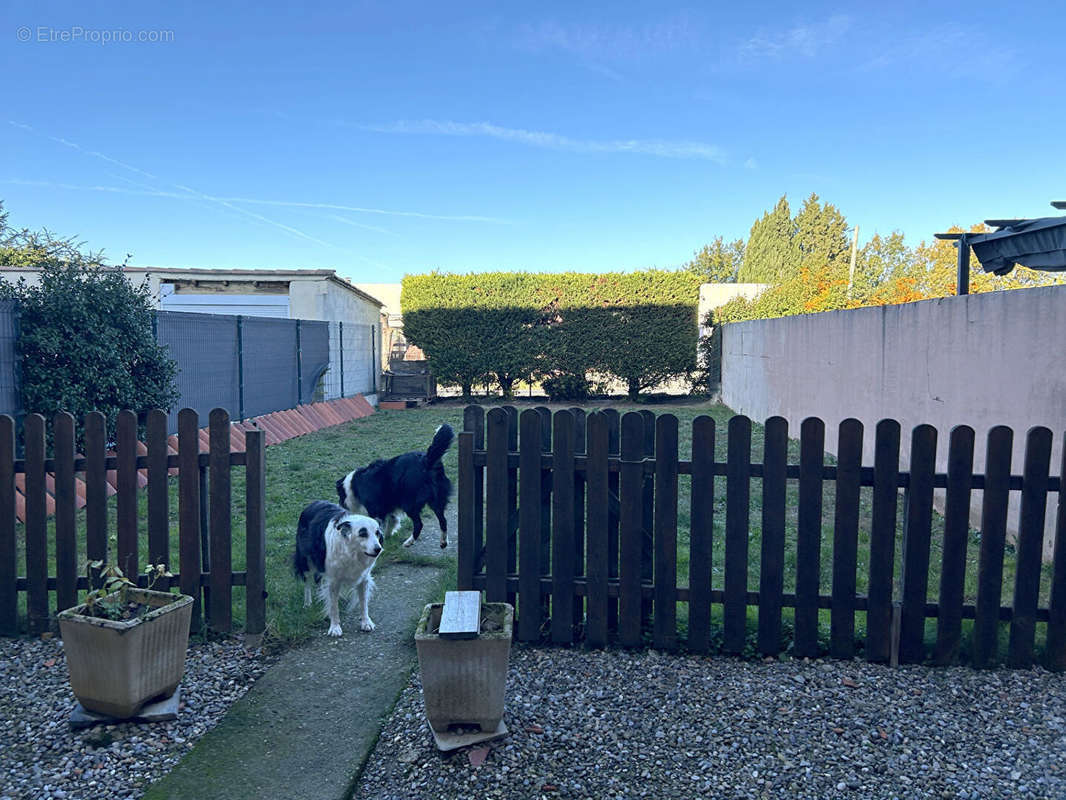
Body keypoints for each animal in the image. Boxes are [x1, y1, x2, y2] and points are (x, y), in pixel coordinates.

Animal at [294, 501, 385, 640]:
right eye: (363, 534)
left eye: (377, 533)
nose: (378, 549)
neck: (352, 552)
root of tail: (313, 503)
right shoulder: (333, 581)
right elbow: (333, 606)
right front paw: (335, 628)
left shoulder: (363, 578)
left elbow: (363, 603)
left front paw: (366, 622)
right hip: (306, 560)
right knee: (307, 581)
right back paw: (307, 602)